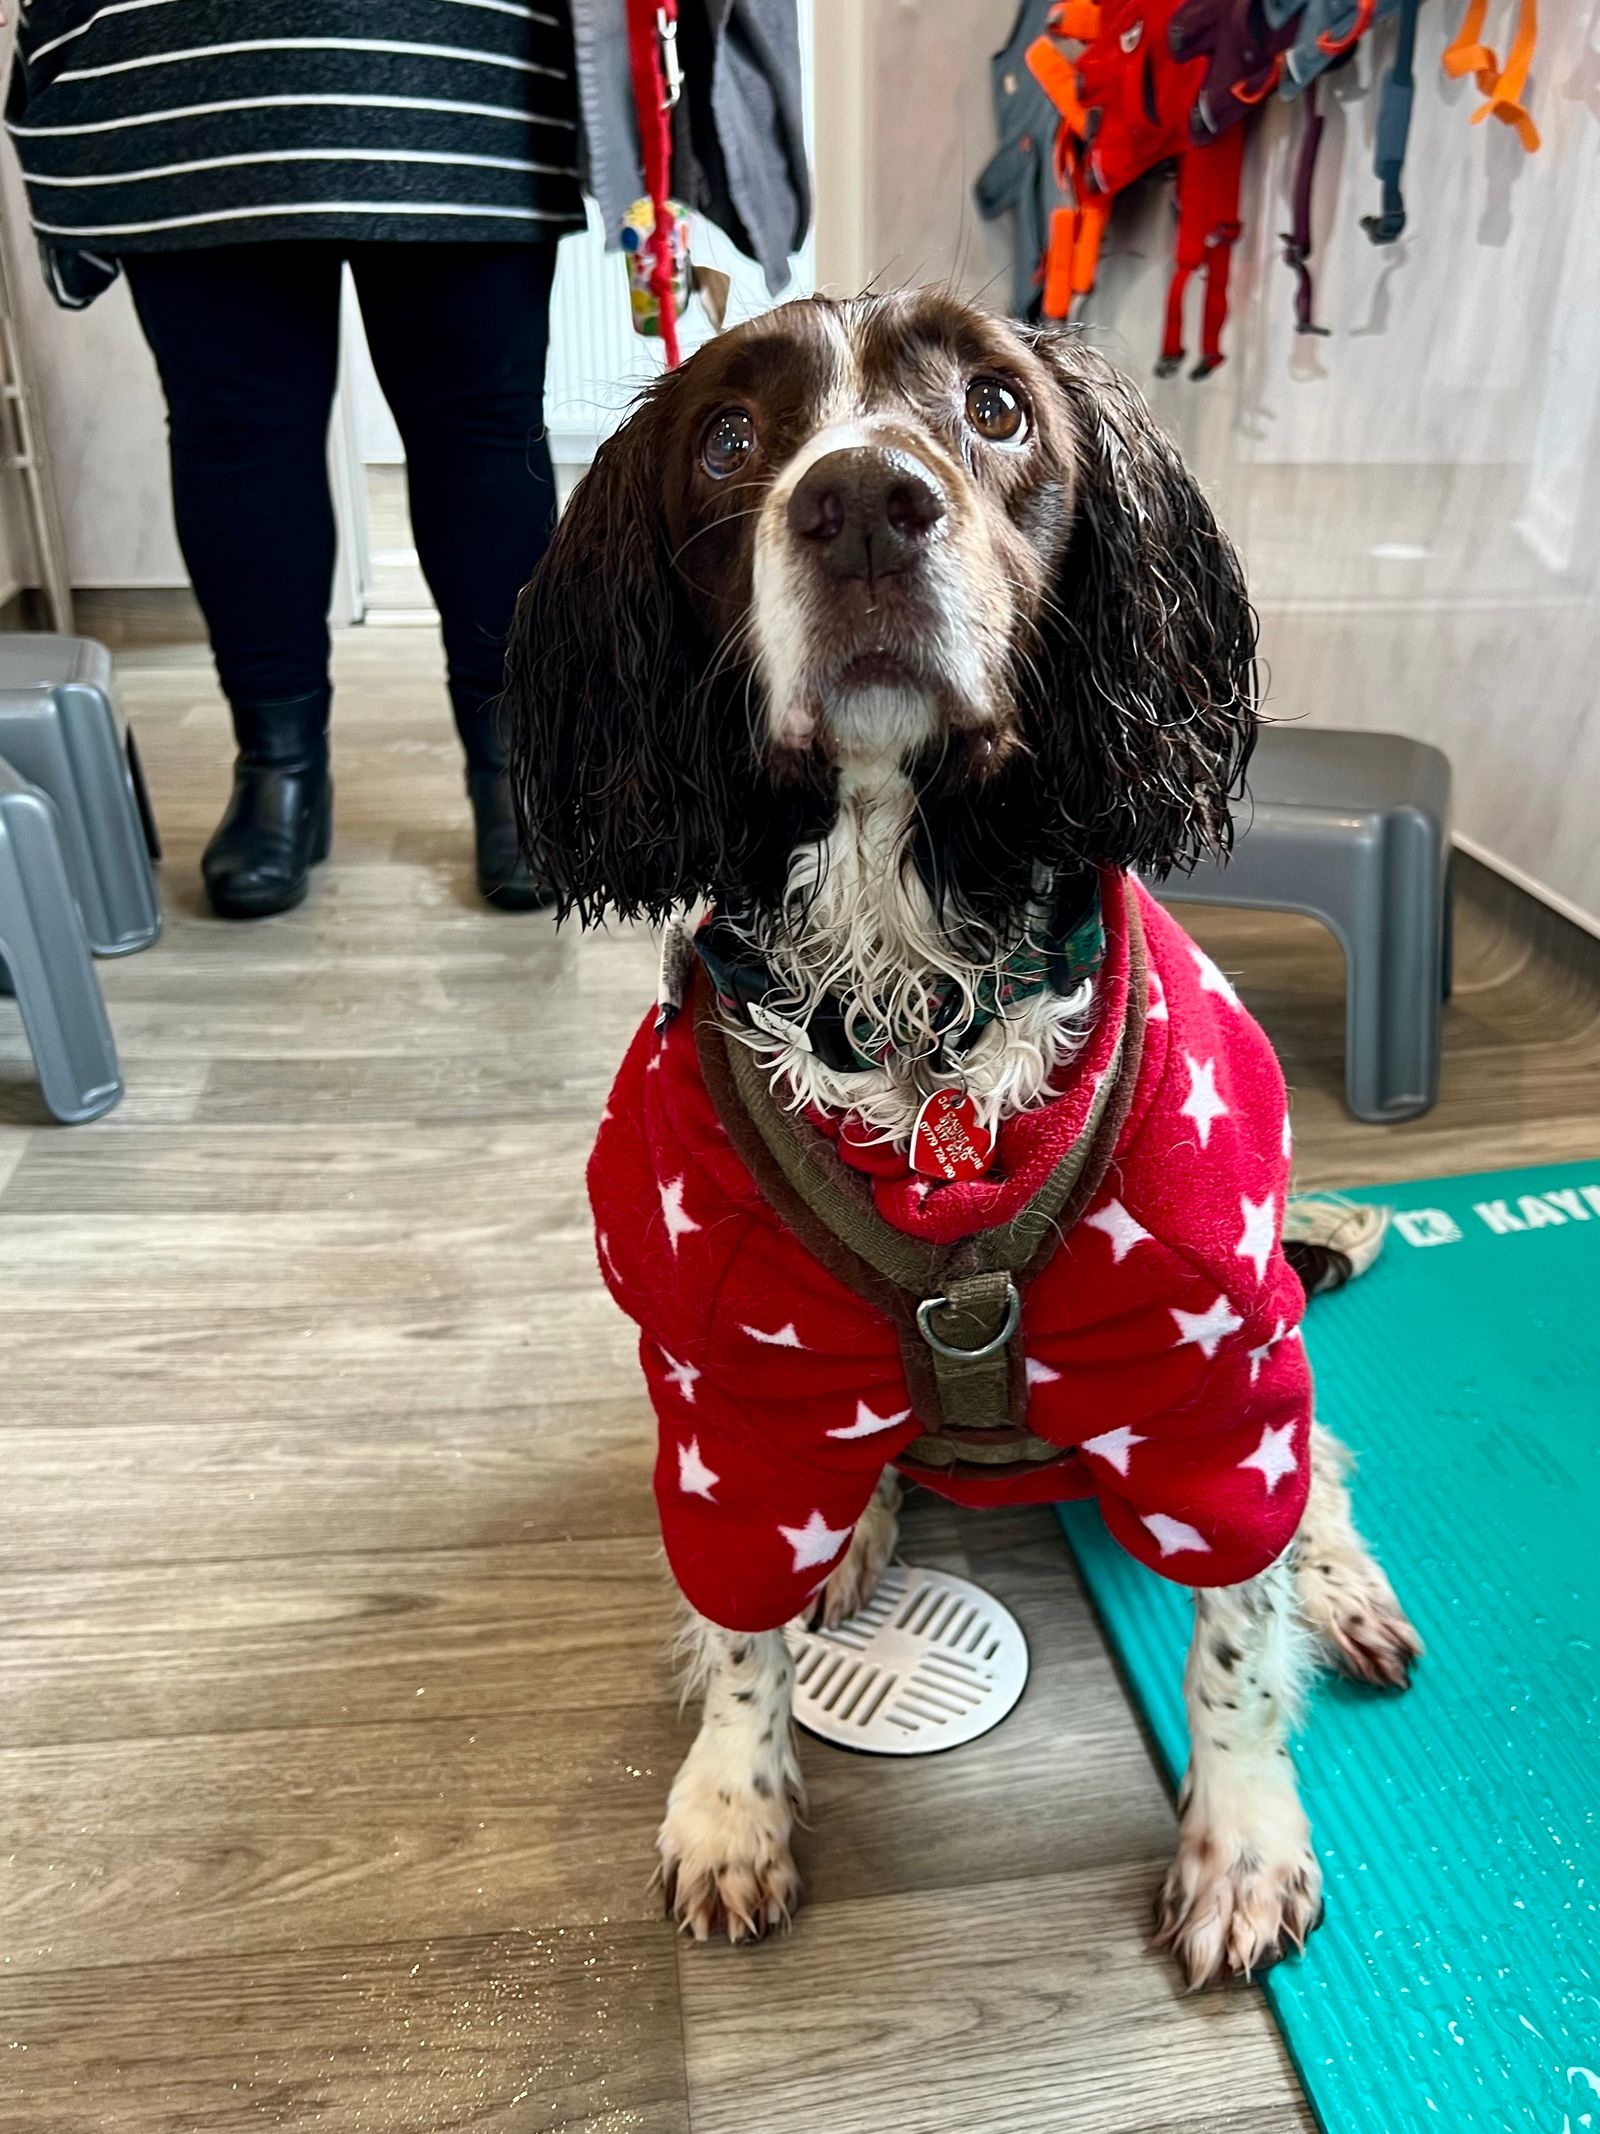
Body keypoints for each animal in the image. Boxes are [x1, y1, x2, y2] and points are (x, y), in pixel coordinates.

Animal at [507, 296, 1425, 1980]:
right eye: (728, 439)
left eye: (997, 406)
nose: (864, 501)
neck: (907, 987)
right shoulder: (727, 1386)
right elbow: (738, 1621)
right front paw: (732, 1802)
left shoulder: (1214, 1363)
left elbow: (1236, 1629)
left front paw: (1245, 1837)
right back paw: (860, 1532)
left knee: (1314, 1478)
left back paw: (1343, 1584)